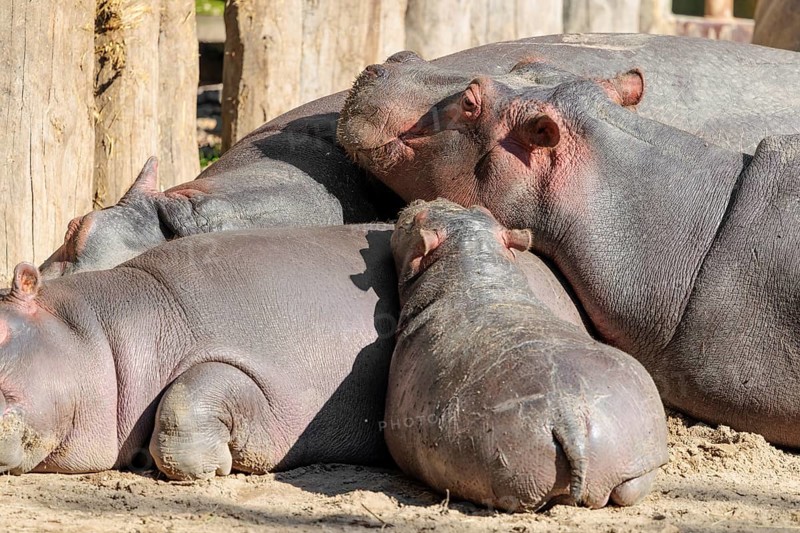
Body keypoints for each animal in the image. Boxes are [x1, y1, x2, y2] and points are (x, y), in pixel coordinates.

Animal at [385, 199, 667, 512]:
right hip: (637, 452)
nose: (423, 201)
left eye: (418, 220)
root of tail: (568, 414)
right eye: (480, 209)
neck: (479, 273)